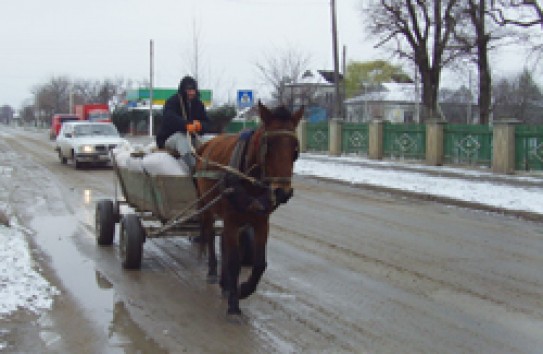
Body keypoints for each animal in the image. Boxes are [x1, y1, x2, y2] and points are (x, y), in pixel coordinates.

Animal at [196, 101, 306, 316]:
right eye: (268, 145)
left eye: (295, 148)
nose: (283, 193)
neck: (250, 178)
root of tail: (207, 143)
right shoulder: (231, 219)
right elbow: (234, 261)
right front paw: (233, 304)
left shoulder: (261, 221)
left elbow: (259, 263)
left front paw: (243, 290)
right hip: (207, 207)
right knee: (210, 235)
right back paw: (213, 271)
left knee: (223, 242)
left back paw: (225, 283)